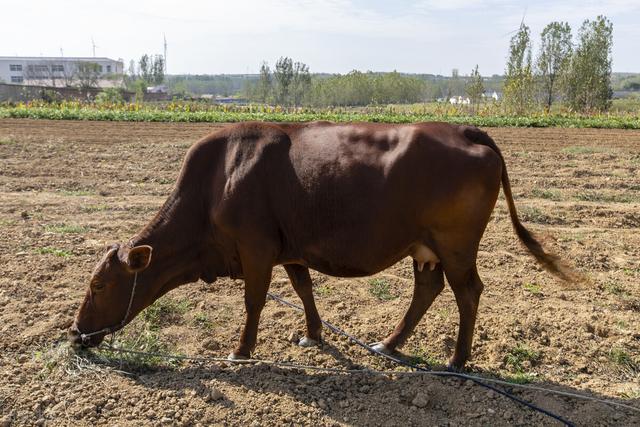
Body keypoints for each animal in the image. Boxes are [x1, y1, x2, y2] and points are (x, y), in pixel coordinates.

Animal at [69, 122, 568, 370]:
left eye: (98, 285)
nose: (75, 335)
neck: (217, 180)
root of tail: (465, 129)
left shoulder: (255, 248)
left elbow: (254, 301)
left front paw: (241, 351)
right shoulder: (289, 248)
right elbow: (304, 289)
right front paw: (313, 334)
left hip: (456, 244)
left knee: (468, 292)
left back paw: (457, 361)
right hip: (425, 248)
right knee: (428, 290)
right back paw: (389, 345)